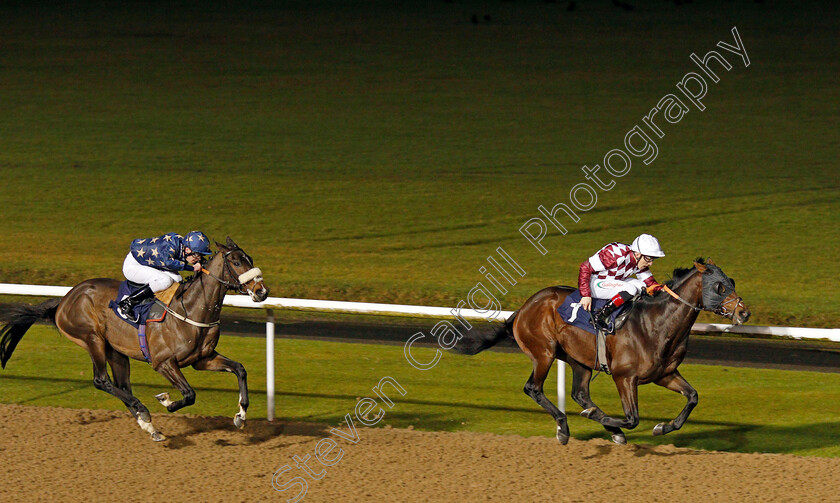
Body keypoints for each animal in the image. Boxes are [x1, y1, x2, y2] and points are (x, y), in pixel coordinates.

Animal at [0, 236, 270, 440]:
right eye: (236, 261)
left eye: (250, 259)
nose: (262, 291)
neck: (190, 309)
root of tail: (64, 300)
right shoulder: (163, 362)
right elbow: (189, 395)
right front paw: (166, 401)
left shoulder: (202, 359)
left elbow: (239, 369)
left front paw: (241, 415)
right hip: (92, 339)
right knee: (101, 381)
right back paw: (144, 411)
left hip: (116, 351)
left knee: (121, 385)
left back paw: (149, 426)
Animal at [456, 260, 752, 444]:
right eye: (719, 286)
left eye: (732, 280)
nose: (744, 313)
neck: (656, 323)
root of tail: (524, 307)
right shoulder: (624, 377)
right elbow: (632, 418)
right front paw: (607, 421)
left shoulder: (664, 374)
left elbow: (692, 397)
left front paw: (661, 427)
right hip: (544, 353)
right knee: (534, 388)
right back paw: (564, 426)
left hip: (579, 360)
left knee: (580, 393)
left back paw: (603, 426)